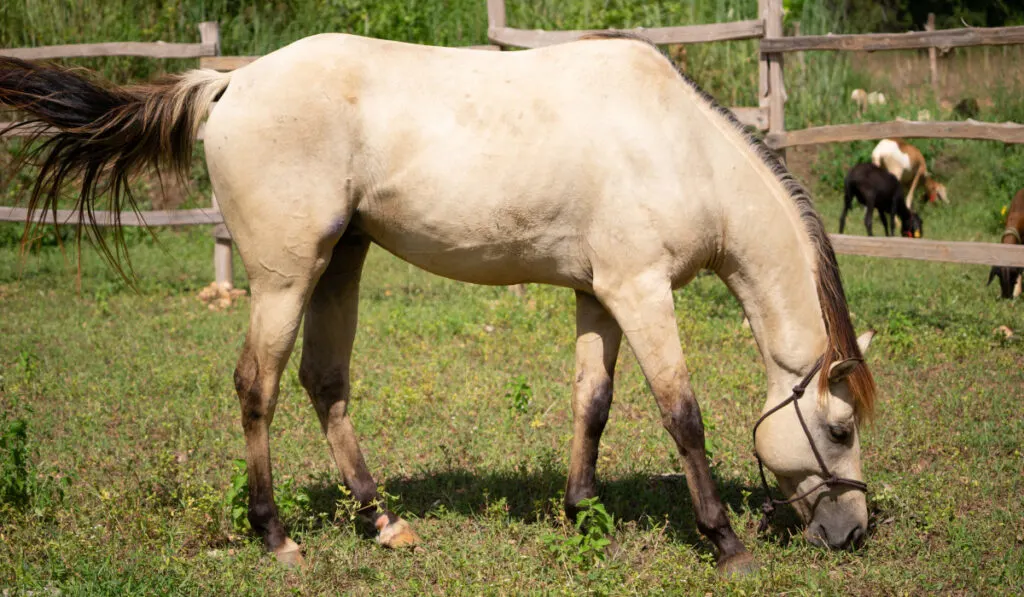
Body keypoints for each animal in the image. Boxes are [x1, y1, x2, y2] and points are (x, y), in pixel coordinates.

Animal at [2, 31, 880, 573]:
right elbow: (682, 414)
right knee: (260, 385)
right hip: (285, 277)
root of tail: (229, 82)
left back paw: (381, 521)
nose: (852, 531)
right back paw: (276, 535)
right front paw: (725, 540)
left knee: (325, 383)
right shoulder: (641, 292)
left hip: (341, 260)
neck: (680, 145)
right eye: (839, 429)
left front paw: (581, 511)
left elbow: (592, 402)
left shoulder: (601, 294)